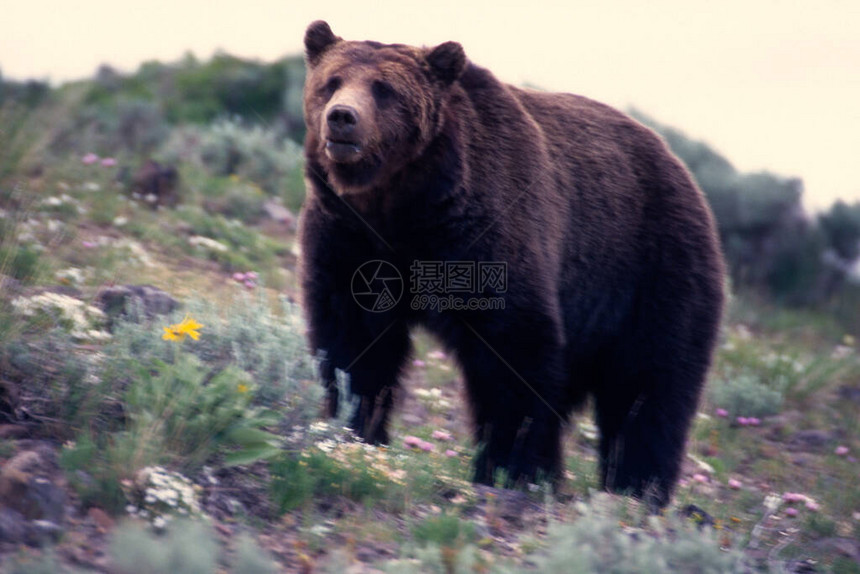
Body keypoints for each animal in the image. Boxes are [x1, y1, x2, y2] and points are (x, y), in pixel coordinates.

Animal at [298, 19, 724, 508]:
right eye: (331, 82)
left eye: (384, 89)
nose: (342, 117)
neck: (404, 205)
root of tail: (681, 167)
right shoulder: (350, 238)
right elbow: (354, 341)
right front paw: (355, 428)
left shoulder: (485, 230)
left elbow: (513, 351)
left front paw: (513, 468)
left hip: (652, 267)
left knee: (650, 385)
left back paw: (637, 486)